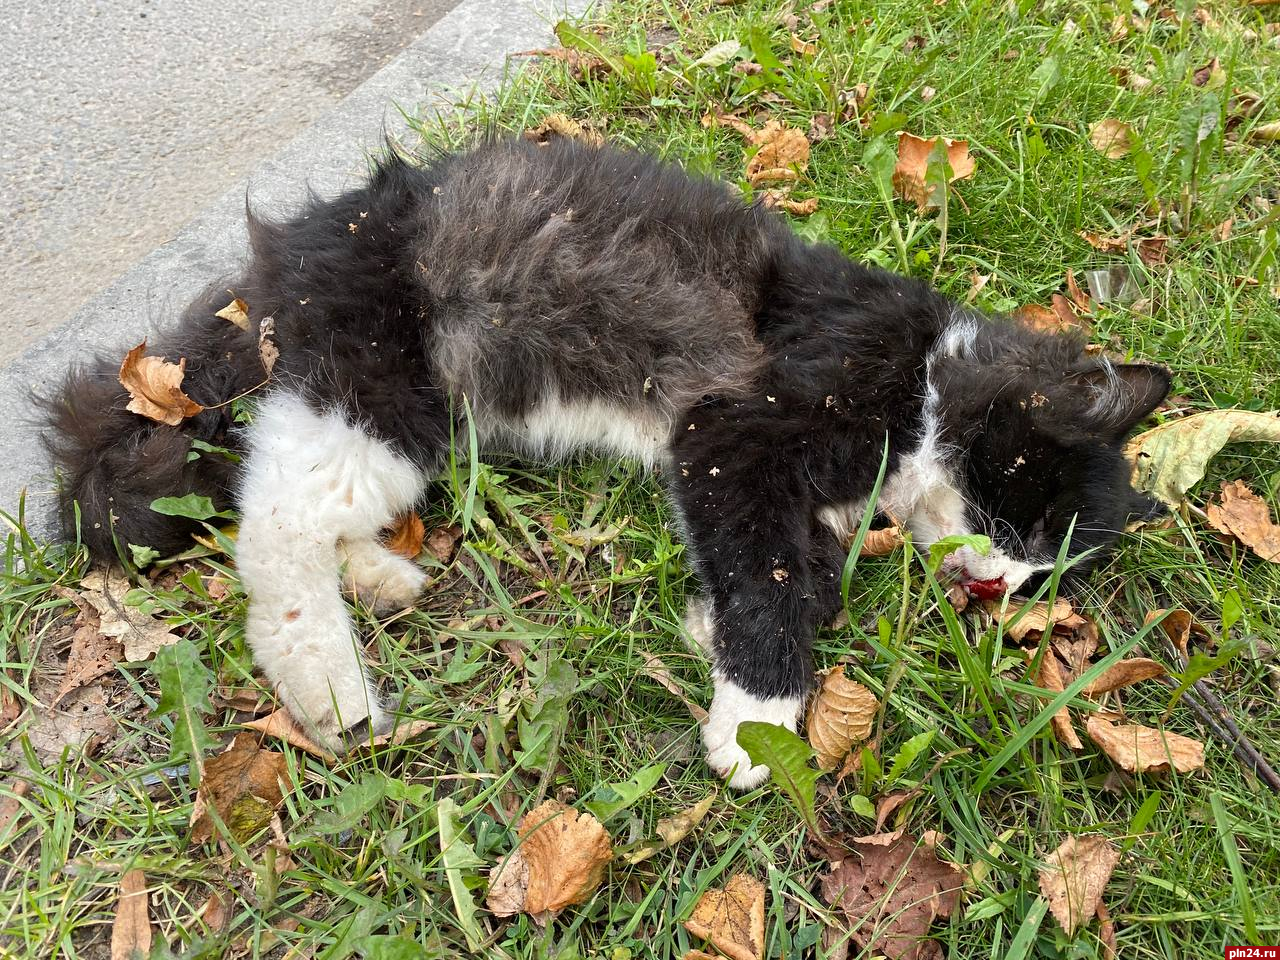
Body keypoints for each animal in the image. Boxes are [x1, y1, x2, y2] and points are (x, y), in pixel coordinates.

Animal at [42, 135, 1172, 788]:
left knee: (289, 506)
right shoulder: (734, 432)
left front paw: (719, 643)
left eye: (1041, 576)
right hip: (378, 396)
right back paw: (330, 689)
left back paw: (384, 578)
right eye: (1032, 520)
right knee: (271, 524)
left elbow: (788, 571)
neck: (927, 368)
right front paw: (757, 719)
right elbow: (774, 580)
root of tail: (281, 259)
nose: (994, 583)